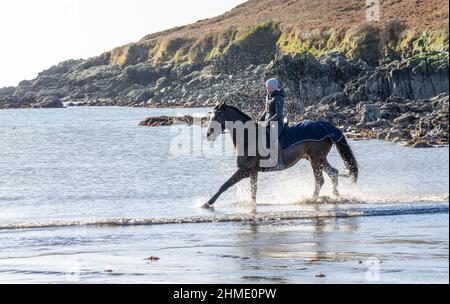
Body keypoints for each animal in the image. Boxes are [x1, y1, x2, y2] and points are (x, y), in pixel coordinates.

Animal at [205, 102, 358, 207]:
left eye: (218, 116)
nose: (208, 134)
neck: (249, 137)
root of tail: (328, 127)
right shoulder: (253, 171)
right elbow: (253, 191)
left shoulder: (245, 170)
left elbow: (225, 185)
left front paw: (207, 203)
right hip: (317, 159)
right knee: (333, 173)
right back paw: (336, 196)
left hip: (316, 159)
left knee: (320, 180)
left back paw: (311, 199)